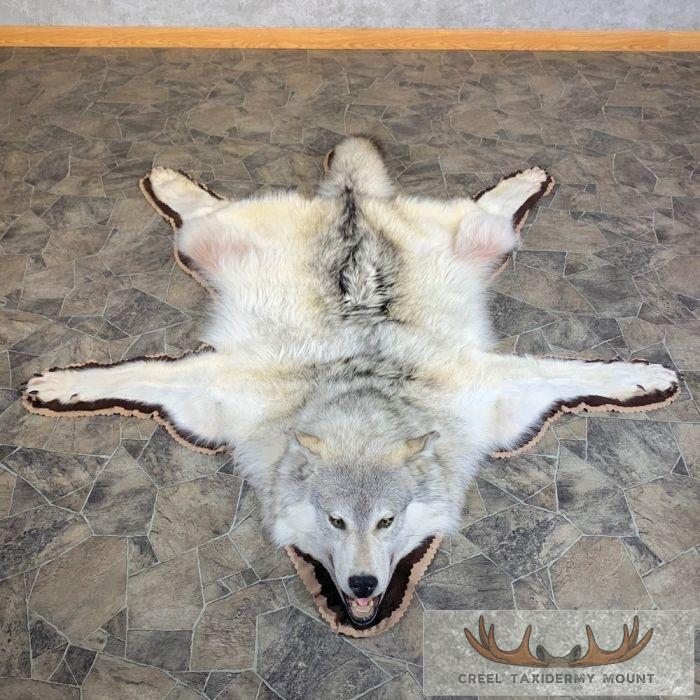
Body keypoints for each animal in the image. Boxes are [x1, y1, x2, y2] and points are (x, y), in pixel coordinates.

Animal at [25, 136, 679, 627]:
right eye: (336, 521)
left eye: (386, 521)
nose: (363, 583)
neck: (360, 398)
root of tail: (352, 201)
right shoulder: (218, 392)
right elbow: (133, 374)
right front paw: (61, 389)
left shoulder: (493, 393)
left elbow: (572, 370)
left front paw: (644, 376)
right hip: (208, 242)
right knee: (201, 208)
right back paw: (166, 180)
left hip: (486, 239)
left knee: (490, 208)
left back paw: (527, 179)